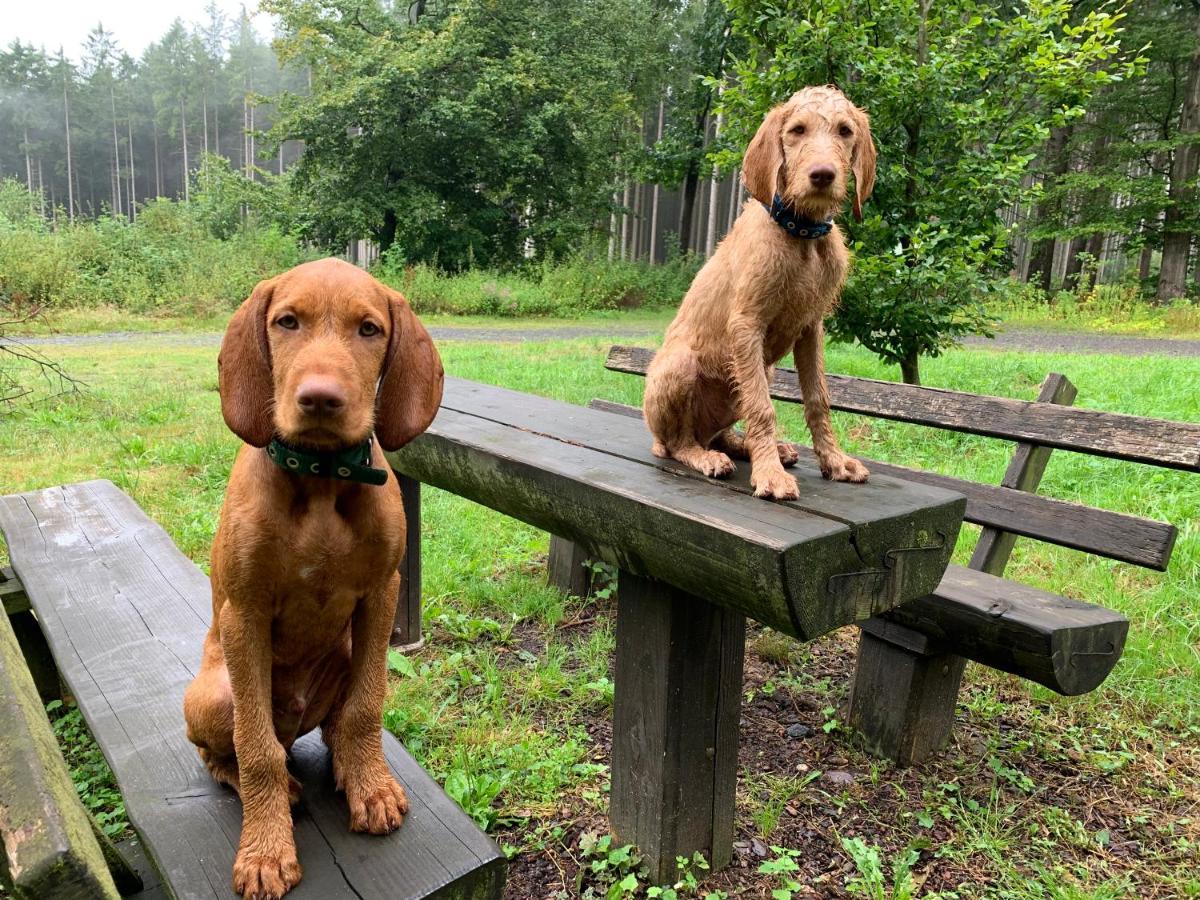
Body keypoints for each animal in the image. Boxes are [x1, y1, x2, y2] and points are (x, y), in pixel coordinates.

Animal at [177, 256, 441, 897]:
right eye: (287, 322)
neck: (320, 480)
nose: (320, 398)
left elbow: (367, 707)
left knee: (336, 725)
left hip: (342, 655)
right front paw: (267, 850)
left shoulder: (381, 595)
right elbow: (256, 750)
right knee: (232, 752)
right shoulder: (244, 612)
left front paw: (370, 785)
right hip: (211, 694)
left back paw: (349, 767)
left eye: (369, 329)